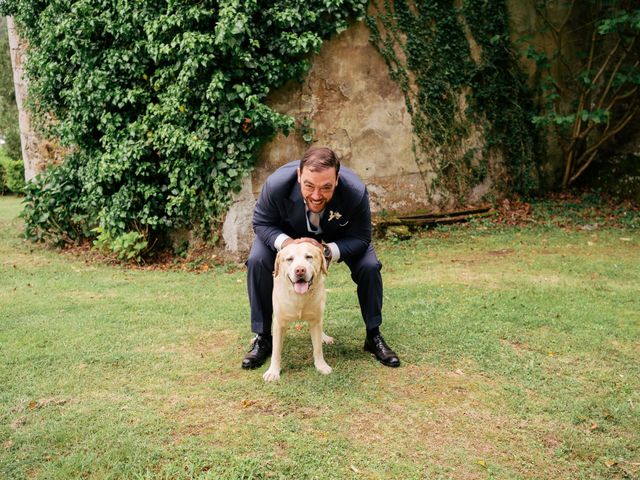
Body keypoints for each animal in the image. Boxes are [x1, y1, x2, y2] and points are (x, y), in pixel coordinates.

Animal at [264, 244, 336, 382]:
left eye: (308, 257)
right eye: (289, 259)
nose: (300, 270)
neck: (299, 297)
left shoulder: (315, 321)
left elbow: (317, 348)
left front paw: (321, 366)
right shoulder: (279, 323)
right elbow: (276, 350)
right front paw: (273, 371)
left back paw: (324, 337)